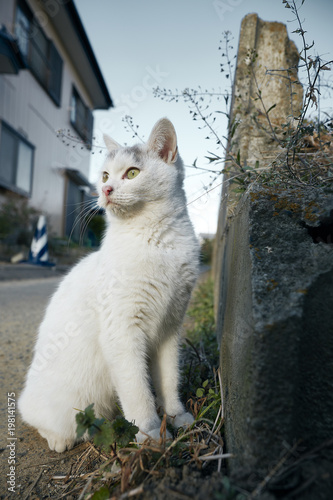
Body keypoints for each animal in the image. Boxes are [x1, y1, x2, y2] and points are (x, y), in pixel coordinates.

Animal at [18, 118, 198, 454]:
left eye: (132, 173)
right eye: (104, 176)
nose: (105, 189)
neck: (156, 242)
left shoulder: (170, 330)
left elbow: (169, 380)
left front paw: (175, 416)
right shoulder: (122, 333)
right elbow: (137, 392)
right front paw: (151, 435)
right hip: (61, 405)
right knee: (34, 416)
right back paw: (60, 439)